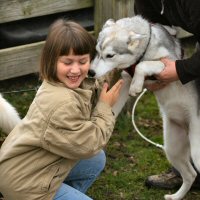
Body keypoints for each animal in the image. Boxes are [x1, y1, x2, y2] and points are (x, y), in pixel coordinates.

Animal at [90, 15, 200, 200]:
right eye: (97, 52)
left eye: (110, 55)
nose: (90, 72)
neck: (146, 48)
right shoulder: (125, 81)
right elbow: (114, 105)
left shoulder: (168, 65)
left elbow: (144, 66)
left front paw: (137, 85)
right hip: (172, 149)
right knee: (190, 175)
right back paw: (176, 196)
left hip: (197, 151)